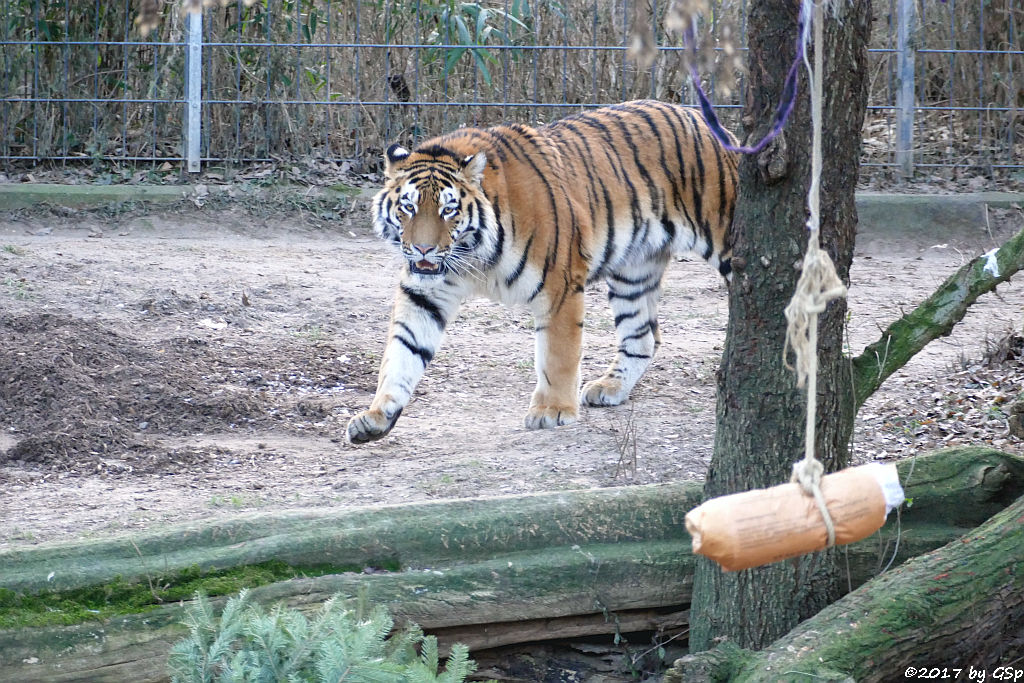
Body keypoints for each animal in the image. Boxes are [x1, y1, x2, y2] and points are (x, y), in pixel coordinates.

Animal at [346, 98, 737, 446]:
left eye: (448, 210)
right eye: (408, 207)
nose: (424, 249)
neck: (473, 256)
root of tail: (706, 119)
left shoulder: (560, 284)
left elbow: (558, 354)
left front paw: (553, 410)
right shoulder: (424, 293)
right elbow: (401, 353)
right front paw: (376, 417)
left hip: (728, 243)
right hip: (634, 271)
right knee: (642, 336)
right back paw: (609, 388)